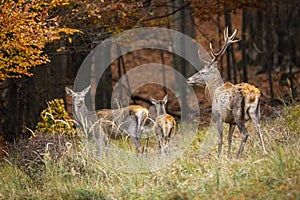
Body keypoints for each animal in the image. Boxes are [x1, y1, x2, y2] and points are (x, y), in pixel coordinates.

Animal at [188, 27, 268, 159]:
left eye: (202, 72)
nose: (189, 79)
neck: (214, 92)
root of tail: (253, 94)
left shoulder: (218, 116)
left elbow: (220, 138)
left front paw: (219, 157)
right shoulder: (231, 121)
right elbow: (229, 138)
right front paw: (228, 156)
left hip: (238, 113)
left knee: (245, 134)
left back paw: (238, 157)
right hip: (255, 112)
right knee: (259, 130)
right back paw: (264, 153)